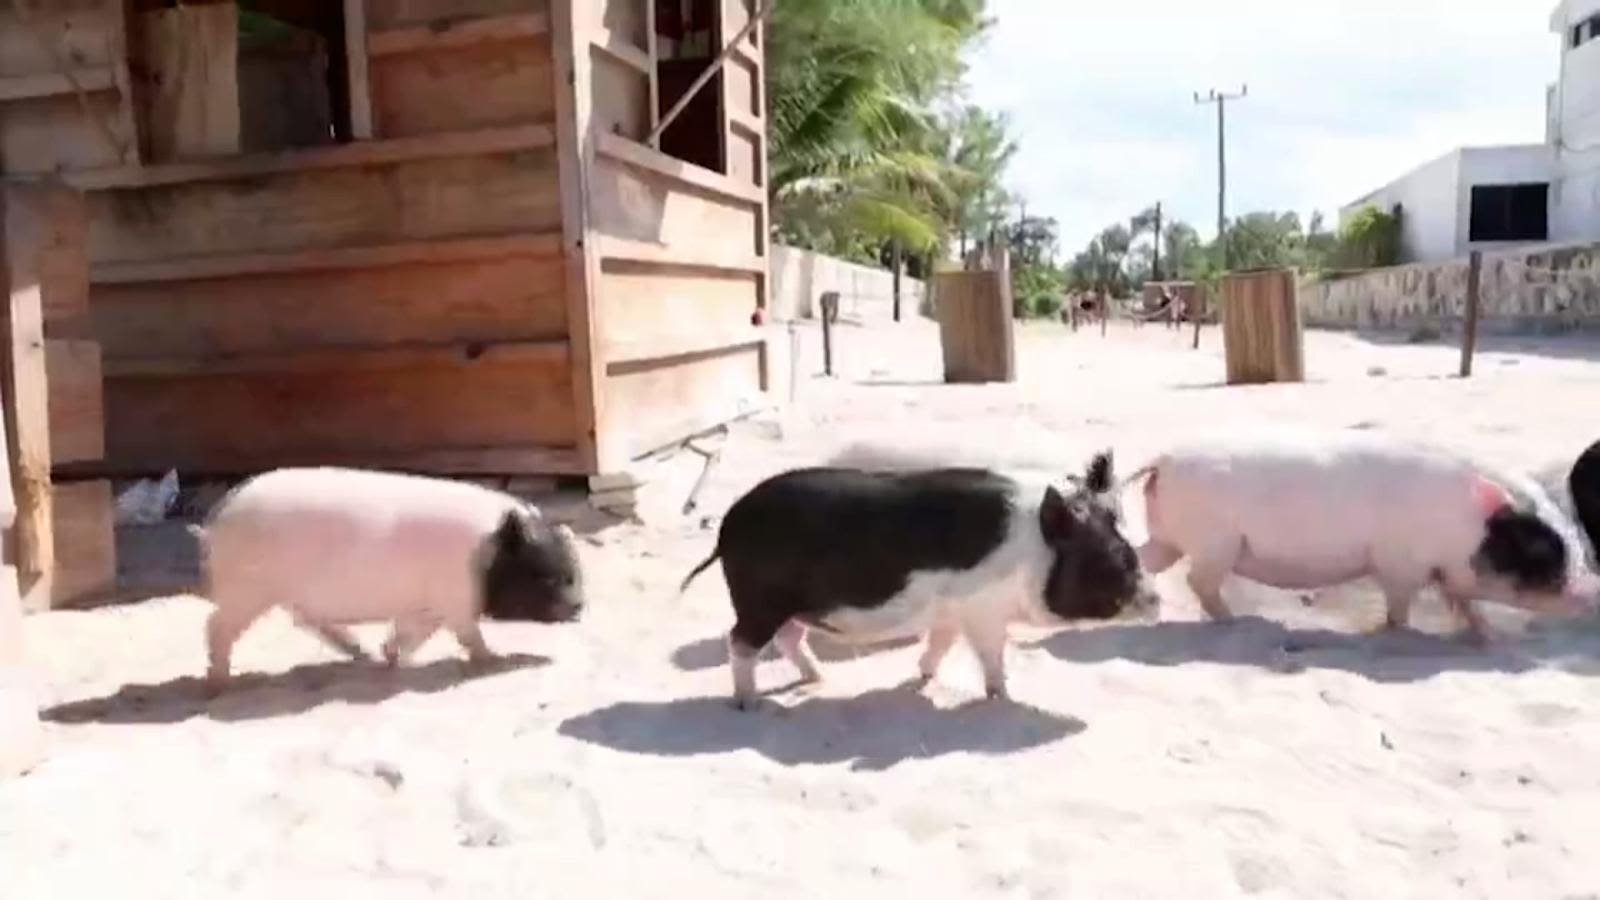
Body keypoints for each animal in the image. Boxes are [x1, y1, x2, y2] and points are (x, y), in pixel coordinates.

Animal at [193, 461, 582, 685]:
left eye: (574, 571)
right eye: (548, 576)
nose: (580, 606)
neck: (485, 558)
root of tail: (218, 516)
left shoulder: (430, 606)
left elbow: (412, 633)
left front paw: (391, 658)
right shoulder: (454, 600)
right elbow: (469, 635)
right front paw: (491, 660)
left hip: (281, 592)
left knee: (306, 620)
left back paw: (362, 653)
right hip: (248, 590)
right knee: (215, 626)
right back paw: (220, 681)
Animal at [1126, 425, 1600, 637]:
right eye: (1541, 549)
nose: (1593, 591)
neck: (1462, 523)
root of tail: (1164, 459)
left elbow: (1463, 602)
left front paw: (1488, 636)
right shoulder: (1400, 563)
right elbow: (1400, 605)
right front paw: (1393, 632)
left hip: (1171, 537)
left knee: (1145, 557)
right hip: (1215, 542)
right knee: (1198, 580)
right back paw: (1240, 621)